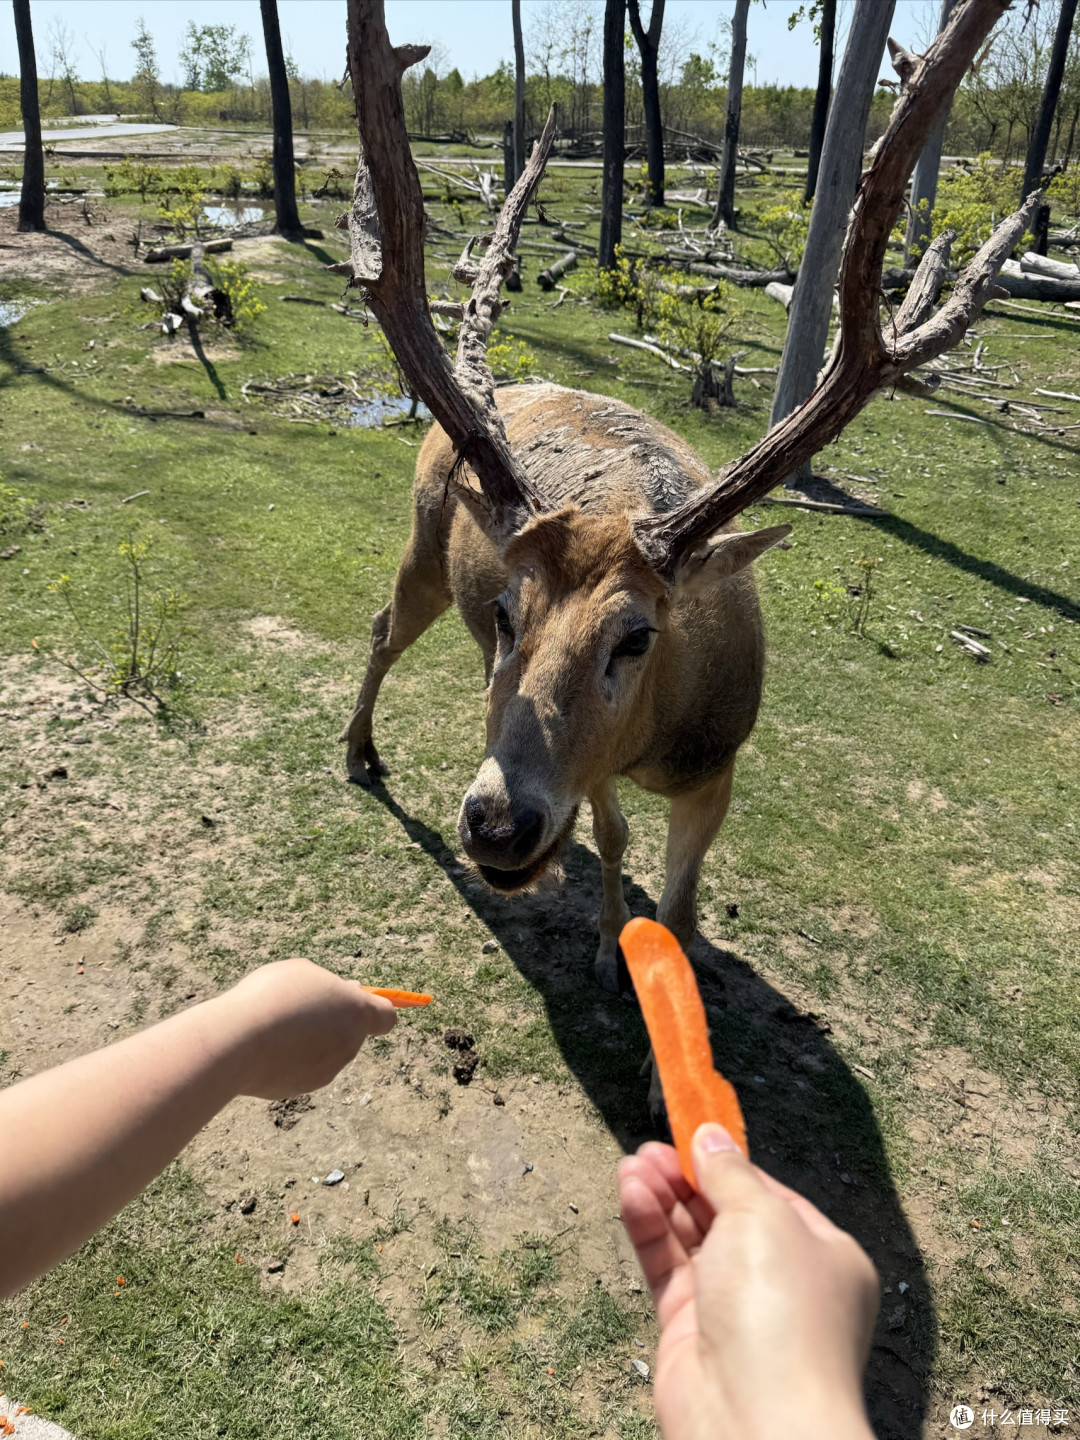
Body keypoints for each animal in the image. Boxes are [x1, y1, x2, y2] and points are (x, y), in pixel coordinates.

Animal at [337, 0, 1038, 1020]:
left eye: (637, 636)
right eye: (513, 609)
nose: (496, 824)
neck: (661, 737)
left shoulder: (721, 761)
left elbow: (681, 891)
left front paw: (674, 957)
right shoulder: (596, 765)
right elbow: (618, 839)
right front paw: (604, 949)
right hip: (426, 535)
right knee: (386, 626)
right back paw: (360, 753)